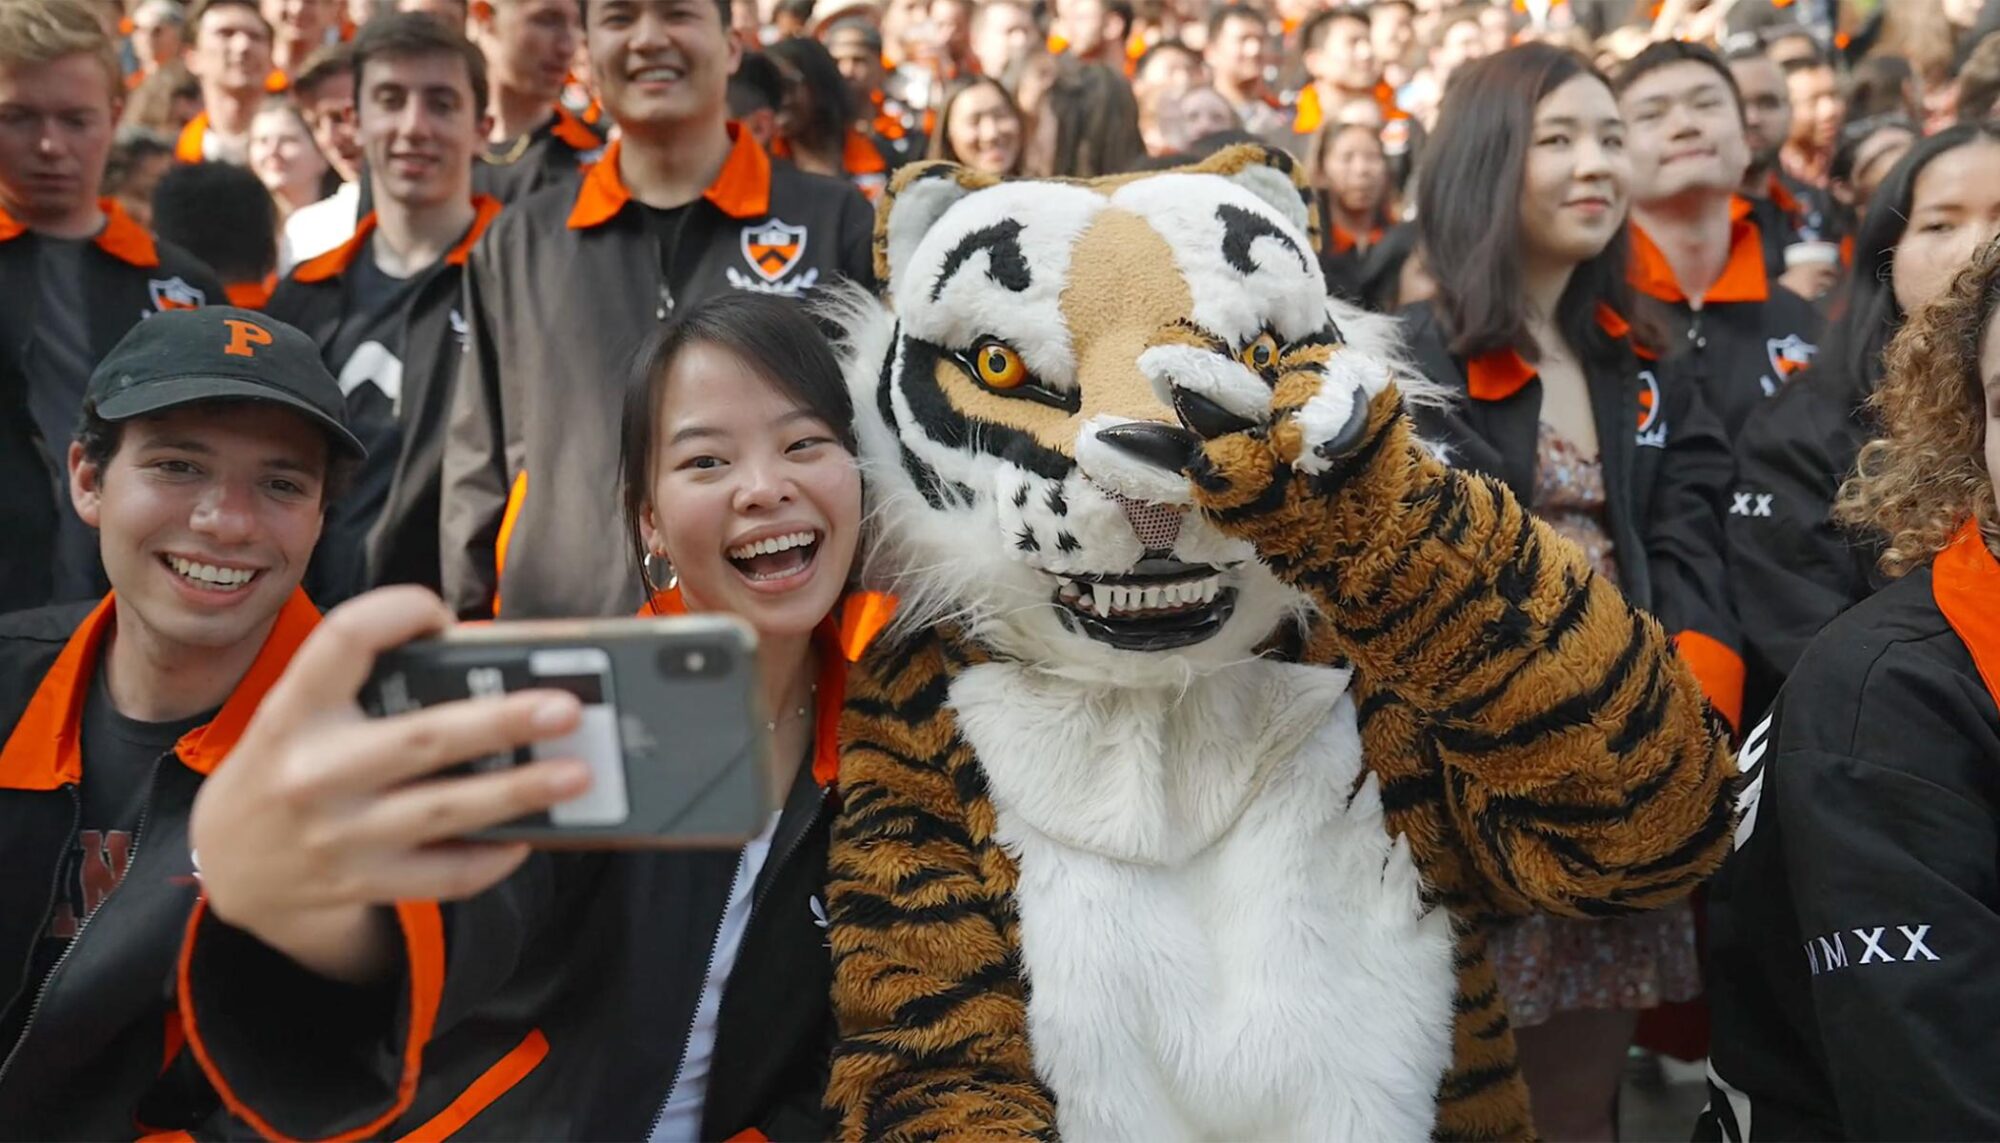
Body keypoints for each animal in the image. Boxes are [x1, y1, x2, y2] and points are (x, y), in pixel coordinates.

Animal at [822, 144, 1737, 1142]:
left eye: (1259, 350)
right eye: (998, 363)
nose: (1154, 493)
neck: (1162, 706)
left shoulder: (1515, 744)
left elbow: (1634, 805)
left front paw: (1311, 453)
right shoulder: (896, 769)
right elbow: (930, 1047)